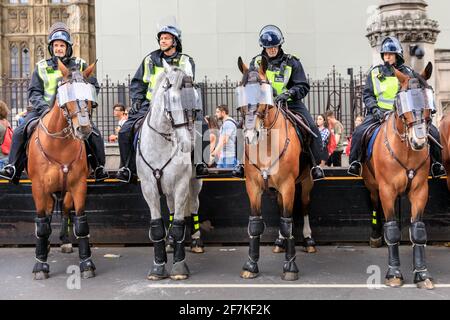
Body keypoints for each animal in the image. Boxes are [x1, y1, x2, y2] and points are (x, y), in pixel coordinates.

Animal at [27, 59, 97, 280]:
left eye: (89, 97)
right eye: (67, 95)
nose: (84, 129)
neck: (60, 145)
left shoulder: (79, 185)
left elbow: (81, 222)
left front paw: (86, 263)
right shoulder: (39, 188)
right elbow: (42, 223)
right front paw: (40, 265)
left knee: (65, 209)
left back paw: (64, 241)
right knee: (48, 215)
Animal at [237, 56, 314, 282]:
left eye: (264, 91)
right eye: (241, 92)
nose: (250, 134)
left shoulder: (288, 186)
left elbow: (288, 222)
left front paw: (290, 266)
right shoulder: (253, 187)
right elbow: (255, 224)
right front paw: (251, 265)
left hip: (306, 183)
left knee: (304, 207)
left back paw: (309, 240)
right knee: (281, 209)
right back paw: (280, 242)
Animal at [362, 62, 436, 290]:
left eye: (428, 99)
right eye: (403, 100)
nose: (419, 141)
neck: (406, 151)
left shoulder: (420, 190)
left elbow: (418, 230)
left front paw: (422, 273)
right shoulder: (387, 189)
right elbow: (393, 229)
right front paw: (394, 273)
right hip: (372, 184)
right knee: (375, 204)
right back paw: (376, 235)